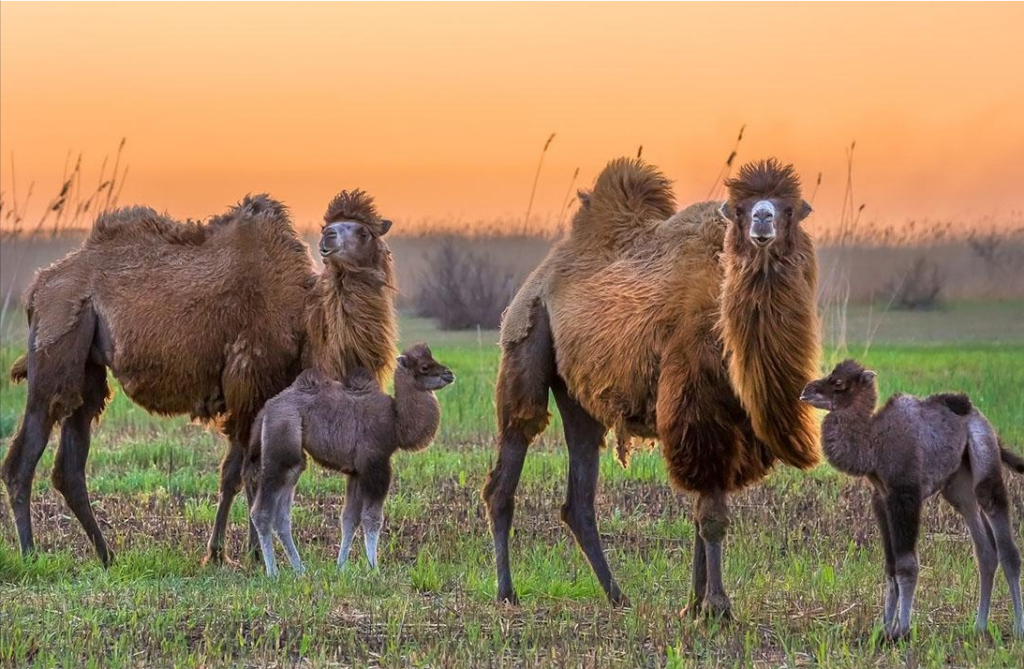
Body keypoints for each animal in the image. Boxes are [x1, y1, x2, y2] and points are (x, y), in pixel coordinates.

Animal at [3, 187, 395, 565]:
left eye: (364, 231)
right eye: (334, 225)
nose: (327, 238)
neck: (303, 324)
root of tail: (38, 288)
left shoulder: (257, 398)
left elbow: (233, 474)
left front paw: (221, 552)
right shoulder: (251, 387)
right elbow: (251, 474)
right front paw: (253, 555)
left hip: (87, 367)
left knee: (70, 464)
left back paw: (106, 555)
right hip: (57, 342)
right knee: (24, 455)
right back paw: (30, 553)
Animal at [245, 344, 454, 573]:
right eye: (424, 366)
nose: (449, 374)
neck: (395, 422)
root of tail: (265, 411)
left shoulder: (356, 472)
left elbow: (349, 519)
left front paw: (341, 567)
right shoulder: (375, 464)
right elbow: (372, 518)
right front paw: (374, 569)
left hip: (293, 462)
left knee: (282, 516)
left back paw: (300, 570)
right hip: (279, 447)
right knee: (262, 511)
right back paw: (273, 573)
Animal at [481, 156, 823, 614]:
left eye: (789, 209)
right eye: (738, 209)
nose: (762, 220)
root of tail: (538, 278)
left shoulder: (729, 423)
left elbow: (702, 511)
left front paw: (694, 605)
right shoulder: (697, 410)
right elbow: (711, 517)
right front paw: (717, 608)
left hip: (578, 398)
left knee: (579, 494)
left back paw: (617, 595)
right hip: (526, 340)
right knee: (509, 463)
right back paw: (507, 592)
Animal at [798, 360, 1024, 643]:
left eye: (839, 383)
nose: (806, 391)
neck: (874, 443)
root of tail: (983, 420)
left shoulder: (906, 494)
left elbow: (906, 565)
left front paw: (902, 630)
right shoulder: (882, 499)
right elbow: (890, 566)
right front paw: (884, 629)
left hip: (984, 452)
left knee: (1003, 536)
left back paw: (1018, 628)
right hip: (959, 483)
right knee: (984, 548)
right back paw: (979, 626)